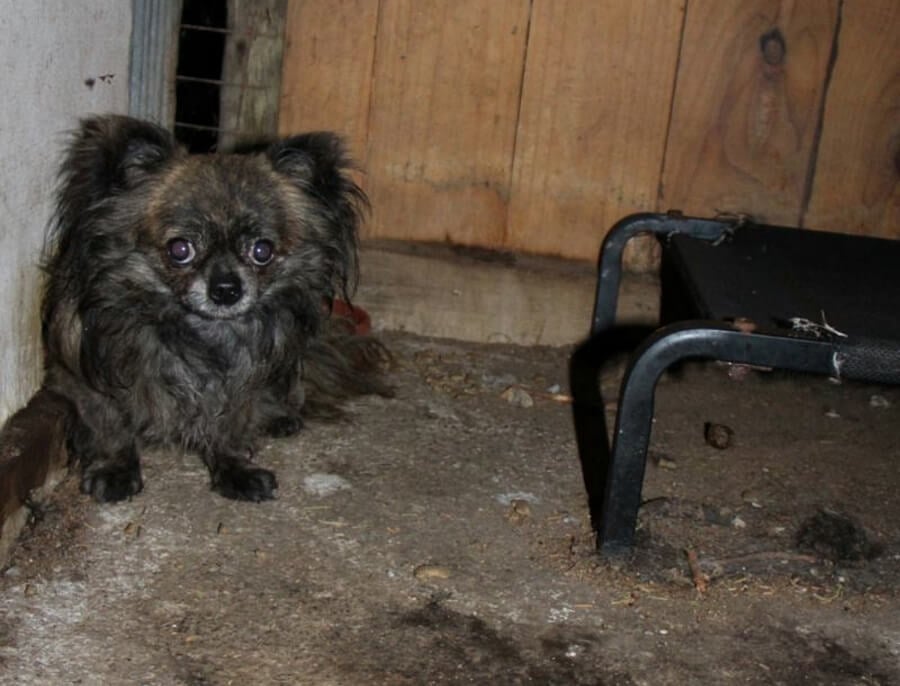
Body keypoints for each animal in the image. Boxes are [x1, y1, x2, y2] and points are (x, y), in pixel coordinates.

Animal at [42, 114, 388, 506]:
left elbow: (232, 427)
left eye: (262, 251)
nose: (226, 289)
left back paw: (281, 416)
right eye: (180, 249)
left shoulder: (244, 384)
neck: (201, 336)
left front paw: (235, 470)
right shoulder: (87, 378)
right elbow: (108, 426)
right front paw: (114, 469)